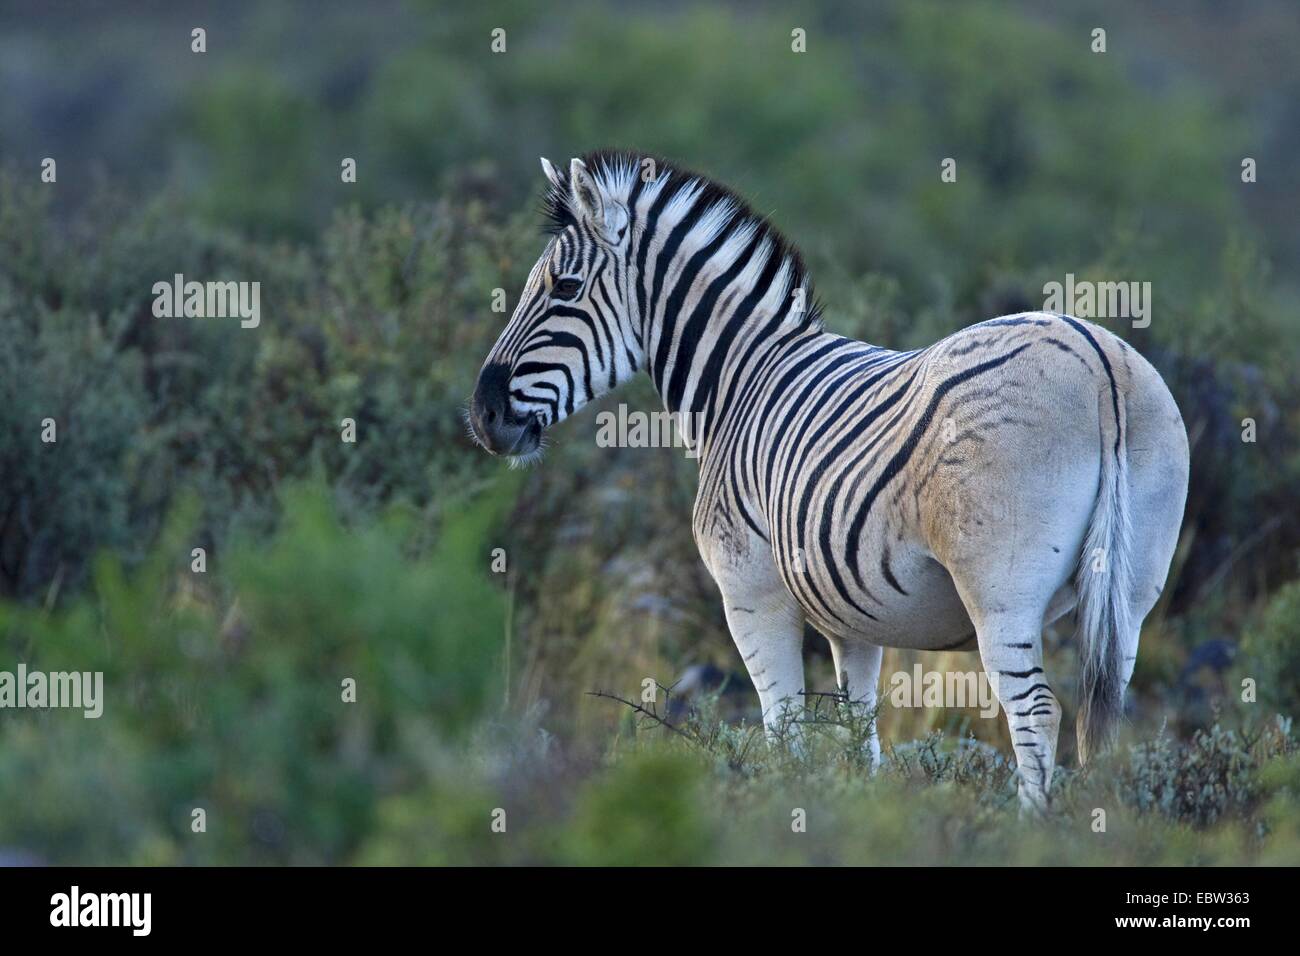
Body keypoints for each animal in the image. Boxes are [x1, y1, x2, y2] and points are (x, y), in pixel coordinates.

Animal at [473, 153, 1190, 811]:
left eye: (564, 288)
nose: (482, 416)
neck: (739, 384)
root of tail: (1097, 361)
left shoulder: (750, 591)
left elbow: (783, 730)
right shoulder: (854, 617)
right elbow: (857, 732)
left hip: (1001, 589)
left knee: (1037, 714)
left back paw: (1031, 833)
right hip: (1131, 589)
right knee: (1105, 717)